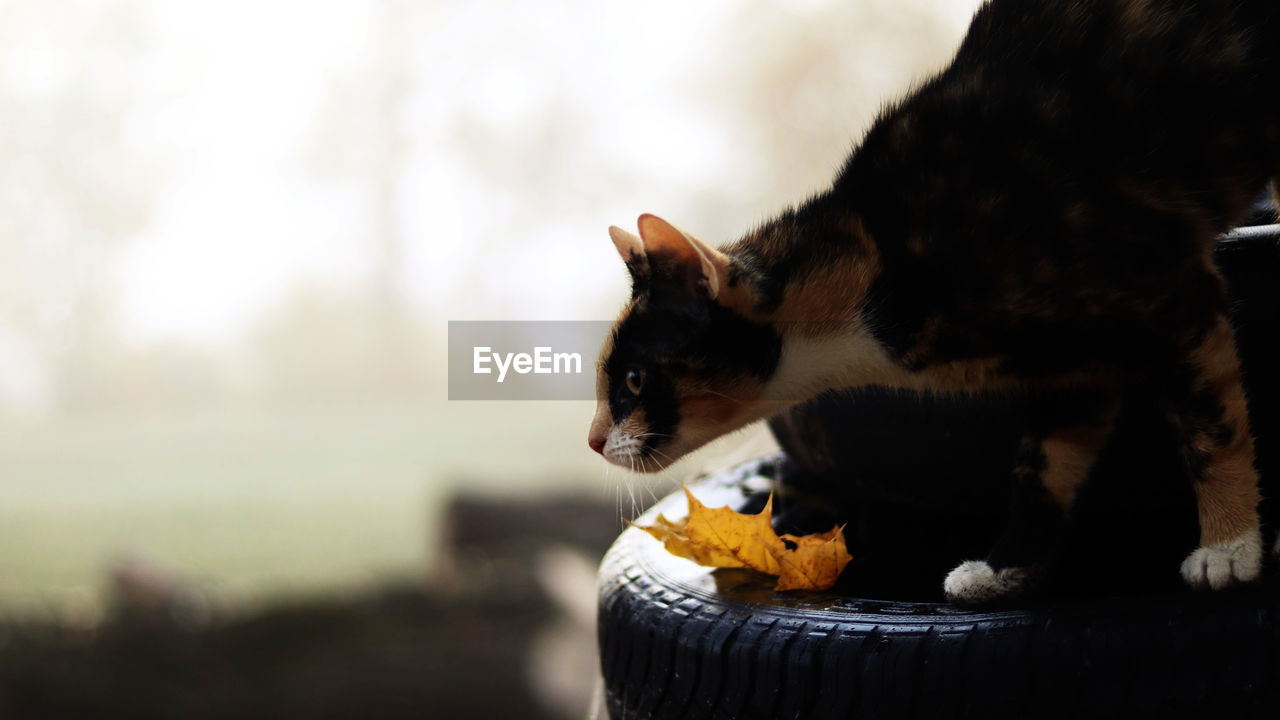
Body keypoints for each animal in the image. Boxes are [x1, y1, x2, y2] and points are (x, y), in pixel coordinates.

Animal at [588, 0, 1280, 604]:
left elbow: (1209, 423)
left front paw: (1228, 547)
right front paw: (1004, 570)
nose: (595, 441)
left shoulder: (1170, 291)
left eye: (634, 379)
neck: (873, 274)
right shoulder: (1077, 371)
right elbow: (1043, 468)